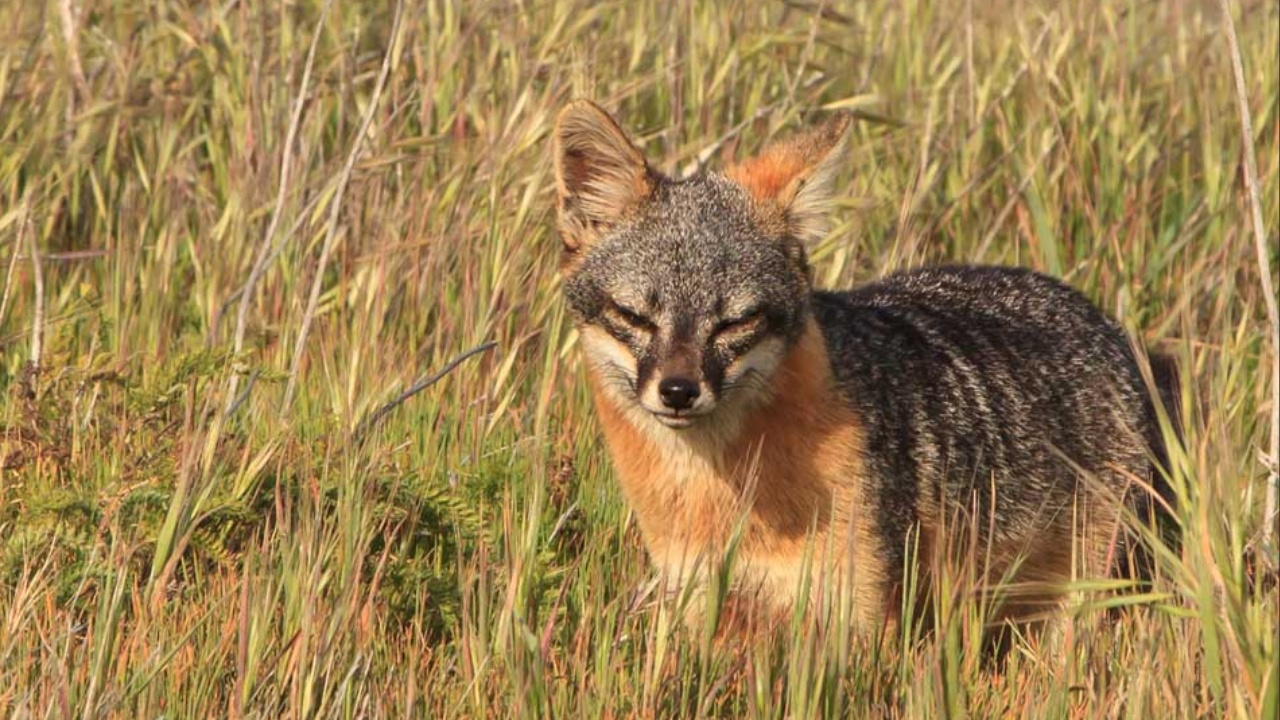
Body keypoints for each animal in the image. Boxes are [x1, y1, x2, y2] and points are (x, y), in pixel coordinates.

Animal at [551, 100, 1176, 631]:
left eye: (735, 322)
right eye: (634, 315)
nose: (679, 391)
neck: (718, 494)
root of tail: (1098, 316)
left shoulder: (860, 614)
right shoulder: (701, 599)